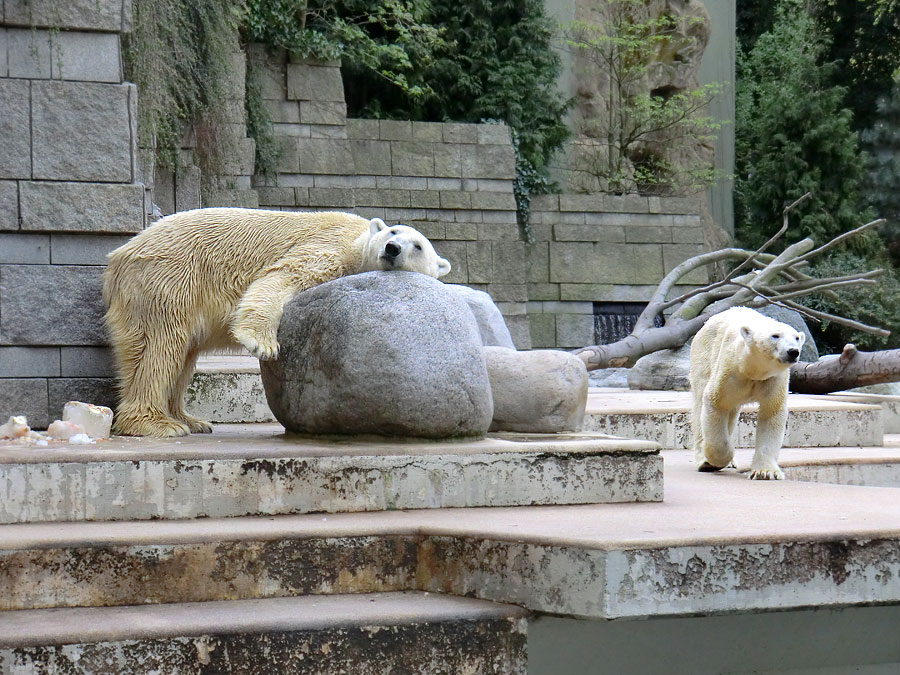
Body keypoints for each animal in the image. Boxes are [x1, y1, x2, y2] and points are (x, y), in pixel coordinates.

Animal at [103, 207, 450, 438]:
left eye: (418, 246)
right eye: (392, 233)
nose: (392, 249)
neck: (358, 240)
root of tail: (122, 253)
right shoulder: (330, 247)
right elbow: (285, 275)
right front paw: (262, 343)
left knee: (181, 353)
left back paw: (189, 420)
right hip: (168, 277)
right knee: (160, 345)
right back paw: (156, 424)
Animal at [688, 306, 808, 480]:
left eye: (797, 337)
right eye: (775, 335)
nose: (793, 351)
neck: (752, 371)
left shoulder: (773, 379)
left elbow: (772, 413)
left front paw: (766, 472)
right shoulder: (730, 373)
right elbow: (716, 403)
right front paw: (716, 461)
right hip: (704, 354)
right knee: (699, 405)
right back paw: (704, 459)